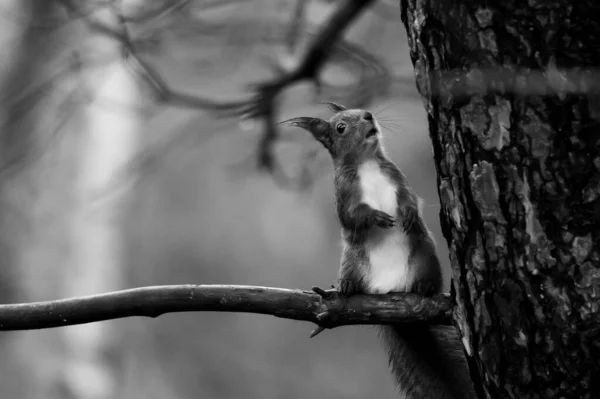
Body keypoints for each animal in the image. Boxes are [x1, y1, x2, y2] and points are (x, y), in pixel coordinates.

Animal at [282, 103, 478, 399]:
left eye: (362, 109)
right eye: (340, 127)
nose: (369, 116)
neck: (367, 162)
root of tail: (389, 289)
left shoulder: (398, 177)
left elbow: (411, 199)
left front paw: (408, 214)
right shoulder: (344, 194)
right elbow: (352, 216)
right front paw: (375, 217)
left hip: (425, 255)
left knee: (428, 277)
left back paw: (424, 286)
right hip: (353, 261)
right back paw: (348, 286)